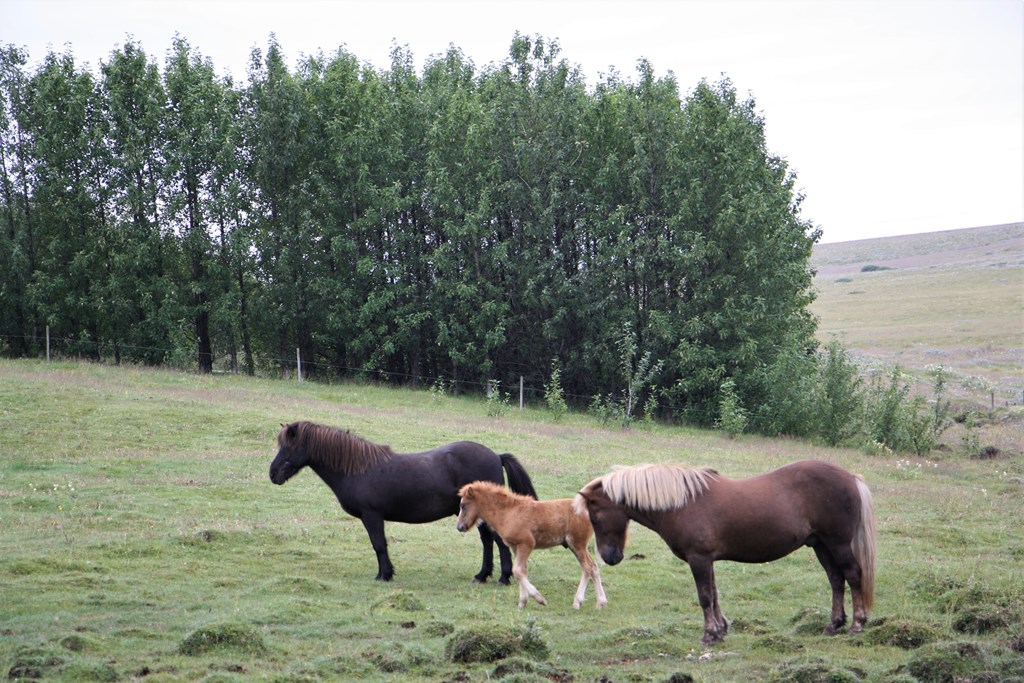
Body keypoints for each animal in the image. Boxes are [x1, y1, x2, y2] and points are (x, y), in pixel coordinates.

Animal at [268, 419, 540, 585]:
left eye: (288, 447)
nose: (273, 474)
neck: (357, 469)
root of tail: (496, 456)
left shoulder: (372, 516)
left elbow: (379, 545)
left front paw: (384, 575)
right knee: (487, 542)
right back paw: (481, 576)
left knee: (498, 542)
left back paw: (503, 578)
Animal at [458, 481, 606, 610]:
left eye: (464, 505)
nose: (459, 527)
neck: (508, 513)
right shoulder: (516, 547)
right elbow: (522, 571)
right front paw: (522, 602)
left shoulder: (527, 544)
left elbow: (517, 571)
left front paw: (539, 599)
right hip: (578, 546)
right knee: (593, 566)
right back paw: (601, 603)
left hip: (577, 543)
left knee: (587, 567)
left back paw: (577, 602)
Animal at [573, 458, 876, 647]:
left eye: (595, 518)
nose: (610, 558)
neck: (682, 503)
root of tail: (851, 478)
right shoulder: (708, 560)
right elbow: (715, 595)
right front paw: (720, 631)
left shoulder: (699, 559)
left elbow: (705, 597)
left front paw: (709, 635)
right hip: (821, 545)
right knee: (836, 580)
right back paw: (834, 624)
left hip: (837, 544)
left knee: (853, 575)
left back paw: (857, 624)